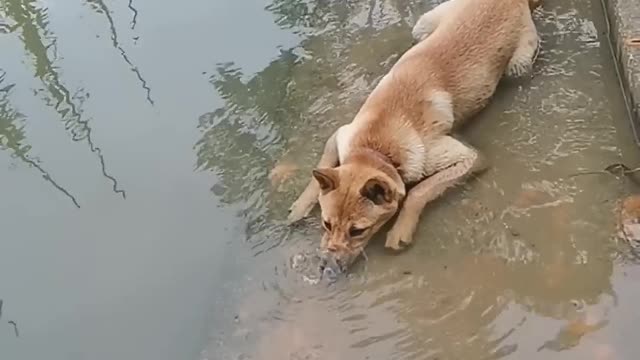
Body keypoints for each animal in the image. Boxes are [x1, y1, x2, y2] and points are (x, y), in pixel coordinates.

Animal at [288, 0, 544, 272]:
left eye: (358, 231)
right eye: (326, 224)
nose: (328, 267)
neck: (377, 148)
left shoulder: (469, 157)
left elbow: (418, 192)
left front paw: (401, 229)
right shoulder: (342, 134)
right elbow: (321, 167)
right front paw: (300, 207)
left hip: (518, 66)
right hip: (423, 26)